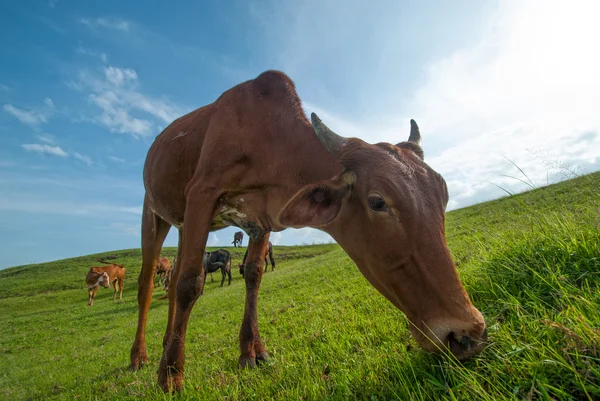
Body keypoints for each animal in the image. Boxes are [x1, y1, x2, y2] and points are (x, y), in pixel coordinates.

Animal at [130, 69, 488, 390]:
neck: (264, 137)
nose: (467, 333)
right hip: (154, 213)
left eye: (443, 194)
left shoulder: (260, 221)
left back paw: (165, 343)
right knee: (149, 283)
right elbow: (191, 284)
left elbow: (253, 274)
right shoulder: (201, 196)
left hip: (181, 222)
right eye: (377, 202)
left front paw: (251, 351)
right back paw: (140, 356)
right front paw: (171, 376)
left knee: (175, 273)